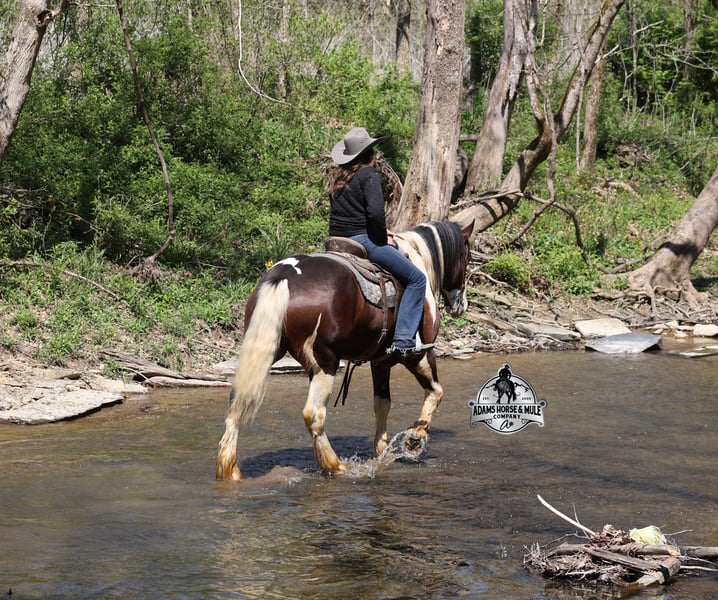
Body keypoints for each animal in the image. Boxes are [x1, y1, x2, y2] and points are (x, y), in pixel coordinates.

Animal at [216, 220, 474, 481]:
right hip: (325, 363)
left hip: (265, 351)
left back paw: (228, 468)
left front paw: (383, 450)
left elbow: (382, 403)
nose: (460, 305)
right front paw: (416, 438)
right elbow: (436, 392)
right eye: (467, 255)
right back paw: (335, 465)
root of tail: (284, 276)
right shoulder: (419, 356)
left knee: (236, 402)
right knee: (314, 414)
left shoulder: (380, 361)